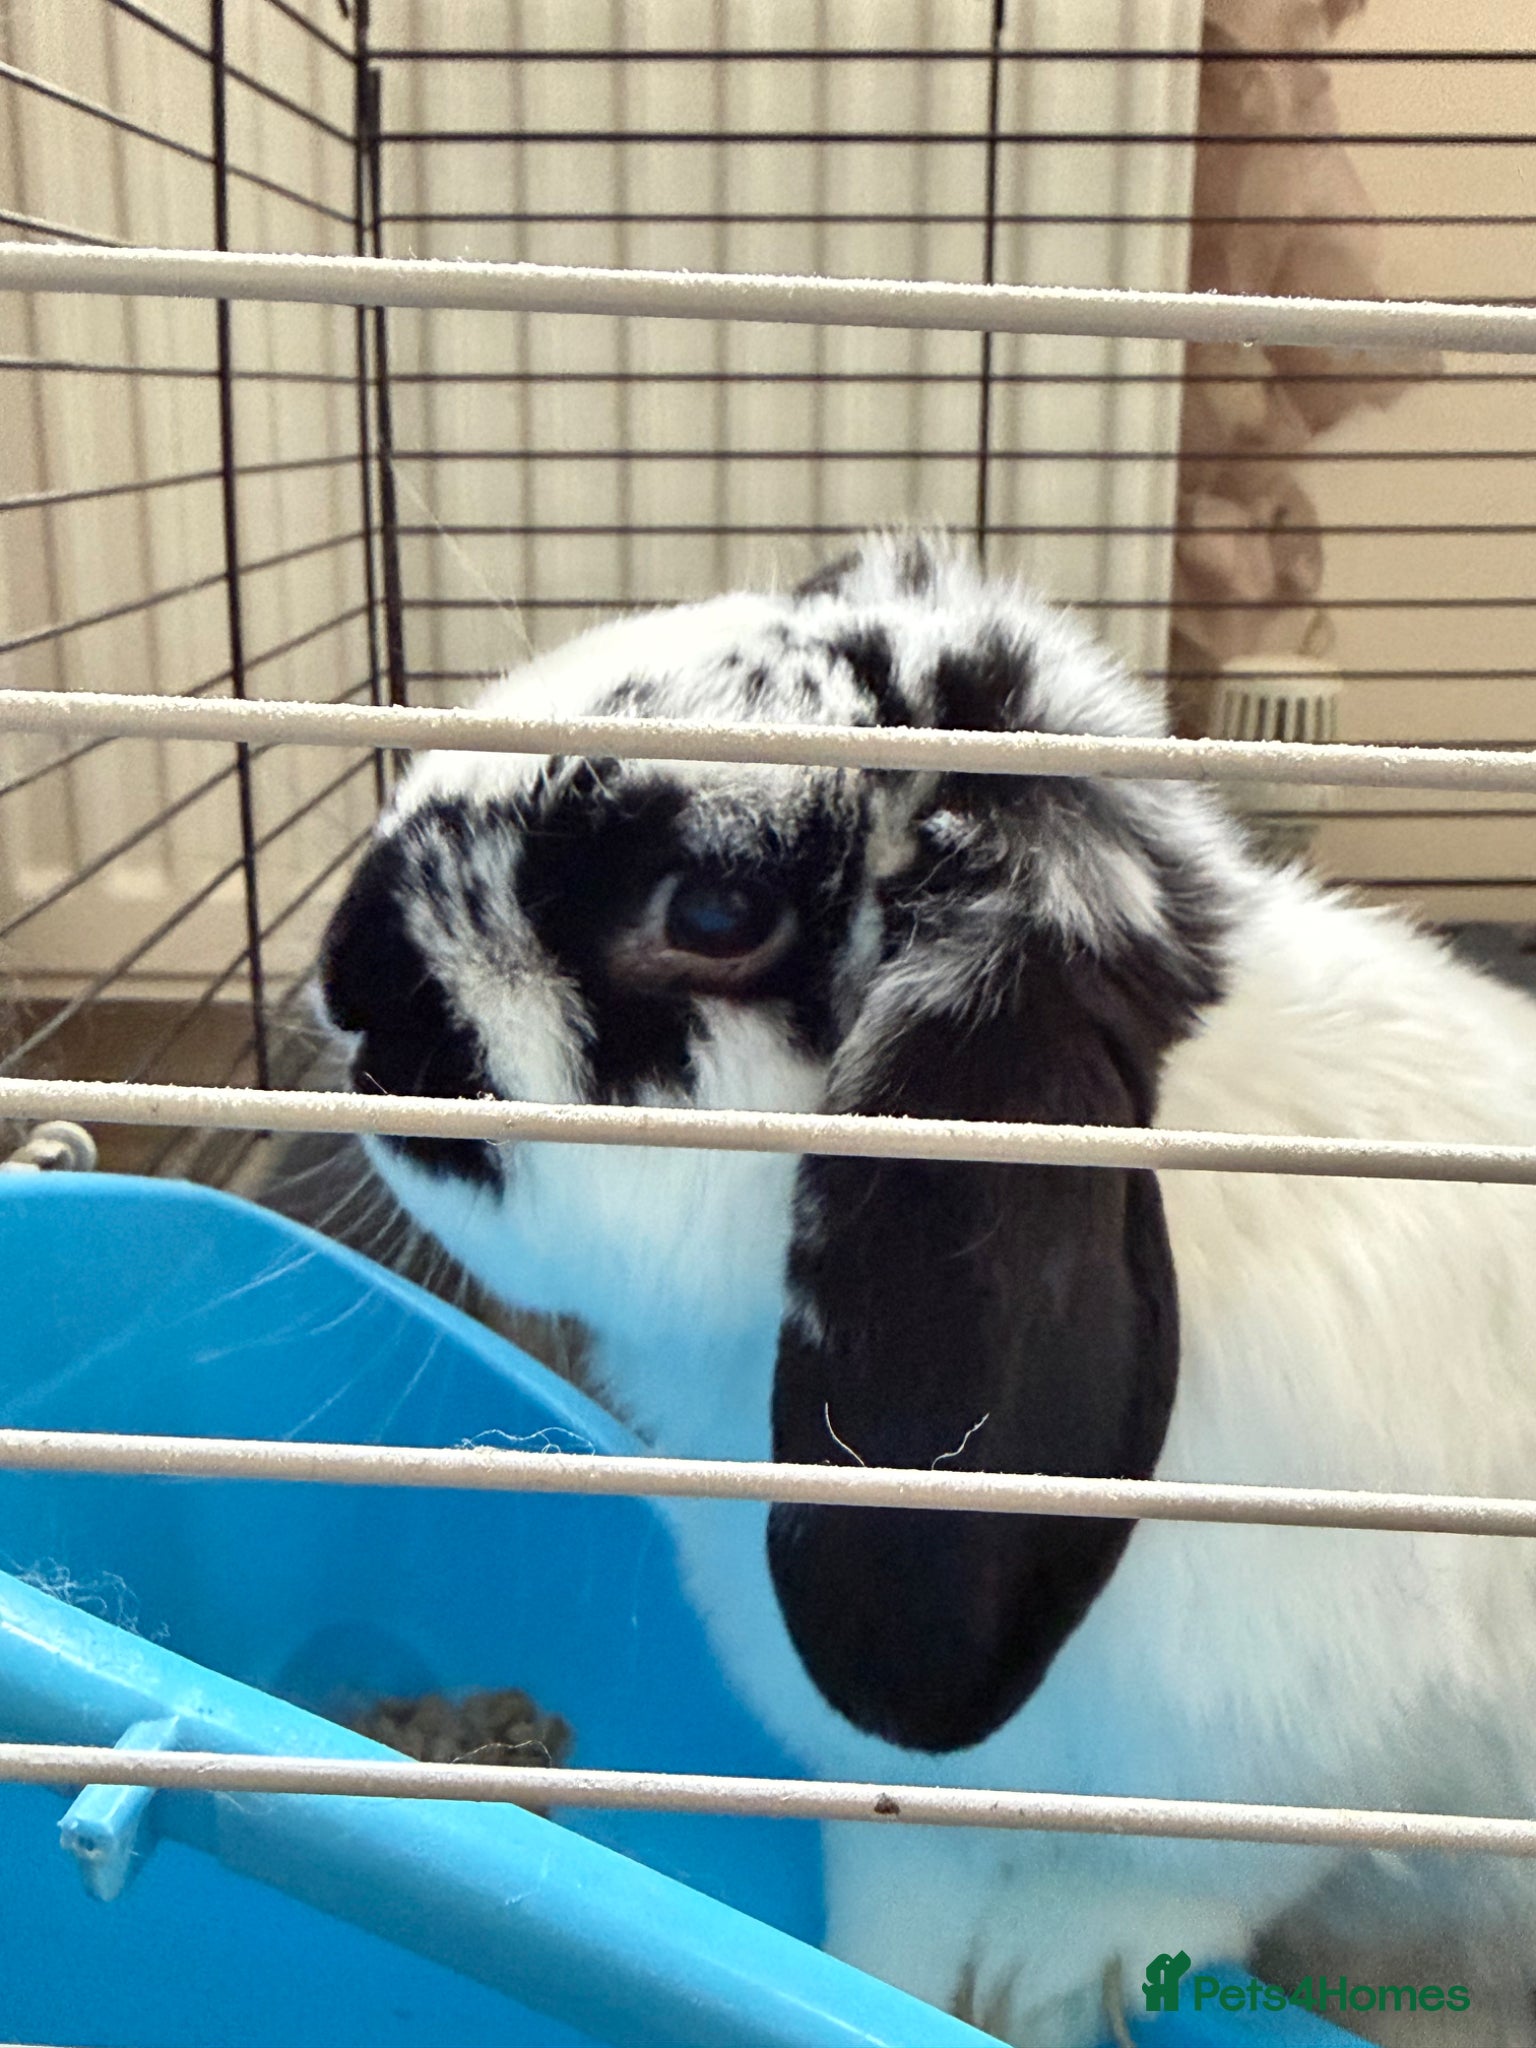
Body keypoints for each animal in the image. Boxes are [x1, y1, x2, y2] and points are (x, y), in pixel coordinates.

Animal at [317, 534, 1536, 2048]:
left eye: (713, 911)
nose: (344, 981)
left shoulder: (1290, 1759)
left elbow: (1177, 1877)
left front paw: (1036, 1978)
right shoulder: (894, 1799)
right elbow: (894, 1907)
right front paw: (888, 1981)